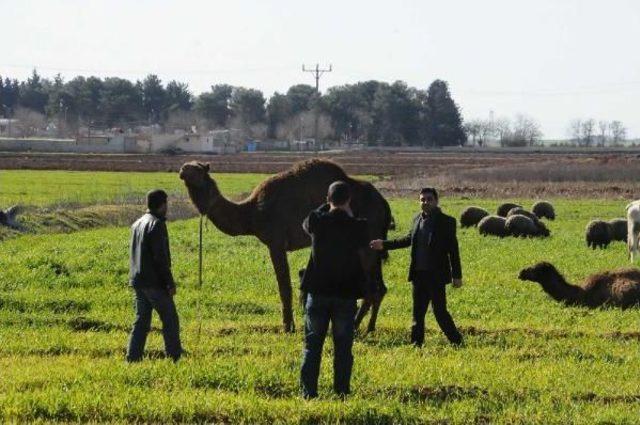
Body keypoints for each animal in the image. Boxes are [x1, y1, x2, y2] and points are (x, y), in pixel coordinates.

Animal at [178, 158, 392, 332]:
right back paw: (368, 327)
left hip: (366, 242)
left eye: (198, 169)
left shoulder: (275, 242)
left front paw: (288, 327)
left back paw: (356, 326)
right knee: (379, 287)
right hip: (372, 244)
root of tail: (383, 202)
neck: (251, 213)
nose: (182, 170)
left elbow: (284, 286)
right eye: (188, 166)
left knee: (371, 287)